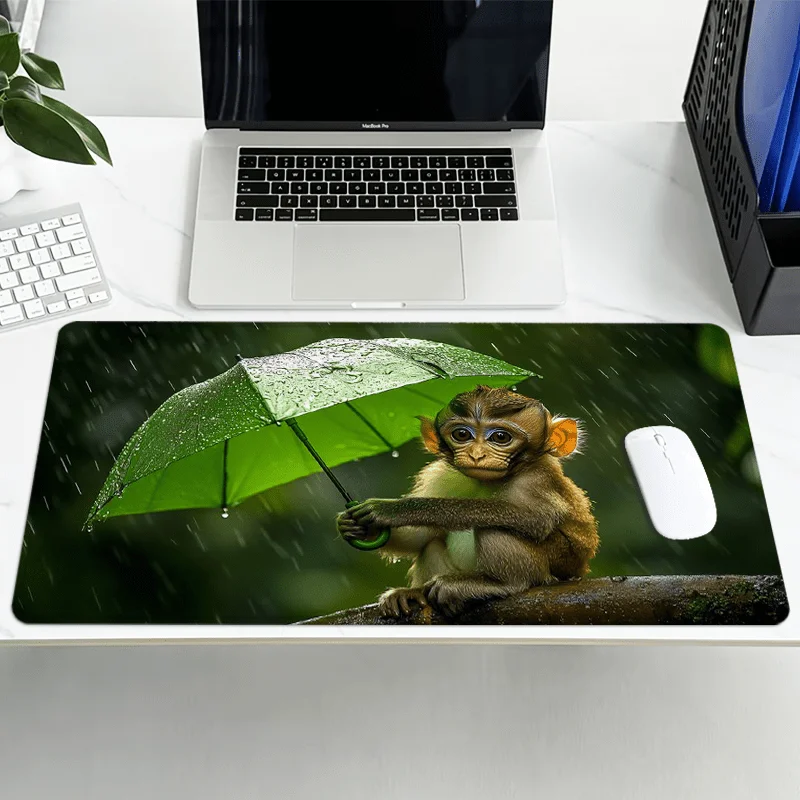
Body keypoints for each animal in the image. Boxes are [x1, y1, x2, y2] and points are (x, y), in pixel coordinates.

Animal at [337, 386, 599, 618]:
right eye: (462, 434)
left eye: (500, 437)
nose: (476, 455)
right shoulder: (440, 475)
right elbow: (421, 536)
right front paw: (360, 527)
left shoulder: (538, 478)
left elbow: (536, 519)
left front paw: (393, 510)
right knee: (432, 543)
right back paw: (416, 593)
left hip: (548, 571)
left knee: (495, 526)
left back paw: (501, 584)